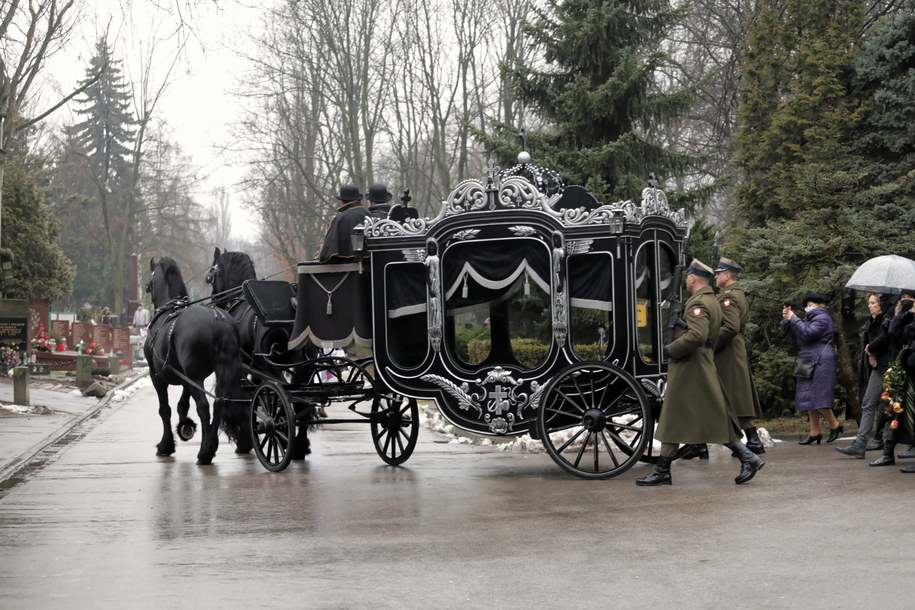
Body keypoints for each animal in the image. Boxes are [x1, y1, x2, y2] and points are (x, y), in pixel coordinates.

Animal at [148, 255, 252, 460]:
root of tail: (218, 319)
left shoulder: (156, 376)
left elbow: (165, 409)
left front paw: (166, 445)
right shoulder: (185, 377)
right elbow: (182, 404)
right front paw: (185, 426)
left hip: (195, 376)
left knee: (203, 406)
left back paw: (205, 451)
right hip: (217, 371)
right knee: (219, 403)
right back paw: (212, 443)